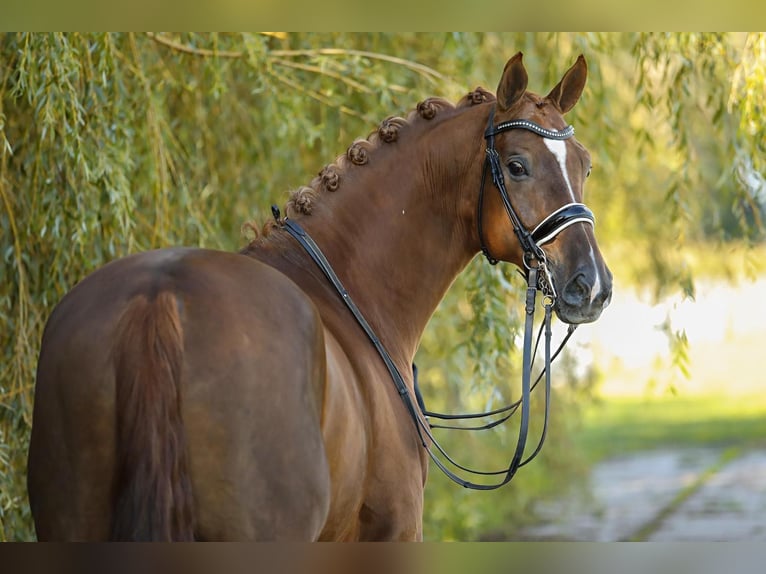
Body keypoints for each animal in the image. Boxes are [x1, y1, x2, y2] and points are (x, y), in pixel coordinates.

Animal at [28, 51, 612, 544]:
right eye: (517, 166)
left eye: (584, 164)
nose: (591, 285)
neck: (348, 288)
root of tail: (159, 297)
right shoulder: (393, 531)